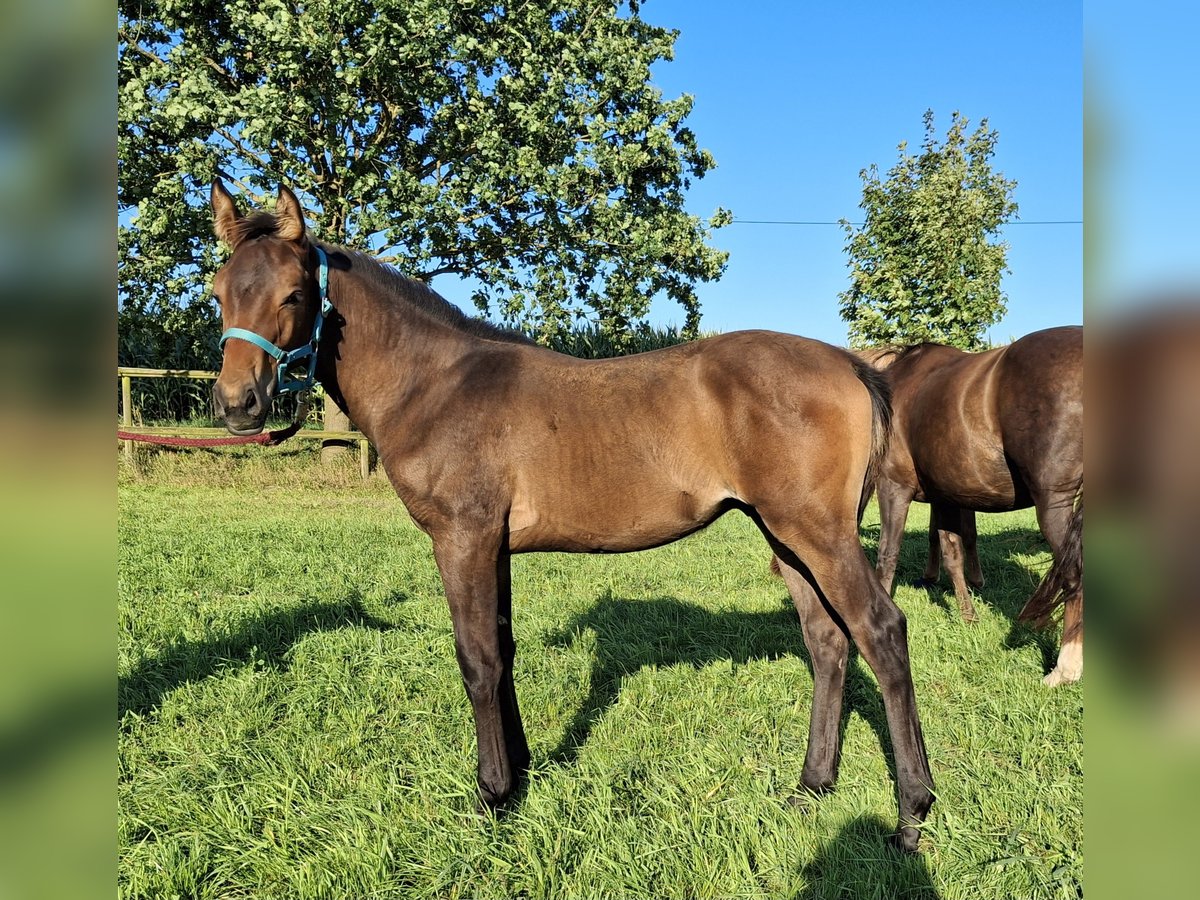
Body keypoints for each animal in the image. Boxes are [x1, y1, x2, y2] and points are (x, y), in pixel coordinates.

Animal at [204, 184, 936, 854]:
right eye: (218, 294)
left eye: (293, 295)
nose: (238, 404)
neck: (436, 384)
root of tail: (850, 363)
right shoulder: (492, 547)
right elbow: (502, 650)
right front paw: (521, 773)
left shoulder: (461, 539)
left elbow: (476, 659)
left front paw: (492, 796)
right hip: (785, 536)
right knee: (828, 642)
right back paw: (812, 786)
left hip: (818, 534)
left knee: (880, 631)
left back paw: (911, 813)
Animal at [868, 328, 1084, 686]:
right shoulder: (945, 497)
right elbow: (951, 553)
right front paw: (968, 616)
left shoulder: (894, 487)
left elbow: (888, 556)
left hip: (1056, 505)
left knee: (1073, 575)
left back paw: (1065, 669)